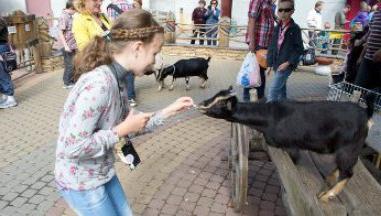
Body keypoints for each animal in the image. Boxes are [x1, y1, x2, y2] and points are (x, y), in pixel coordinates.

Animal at [197, 86, 376, 202]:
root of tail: (366, 114)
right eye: (215, 96)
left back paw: (327, 195)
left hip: (348, 149)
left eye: (220, 105)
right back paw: (330, 179)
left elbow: (294, 161)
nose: (200, 104)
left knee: (348, 172)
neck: (270, 117)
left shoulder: (291, 147)